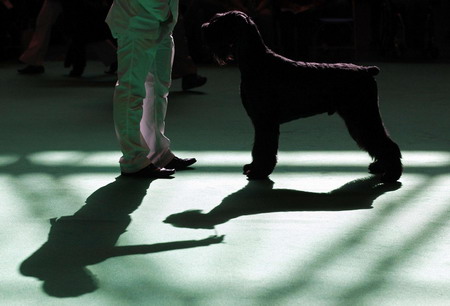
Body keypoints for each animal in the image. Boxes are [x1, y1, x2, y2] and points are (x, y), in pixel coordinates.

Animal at [202, 10, 402, 183]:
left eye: (219, 22)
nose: (204, 27)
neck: (257, 62)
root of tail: (367, 70)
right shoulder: (261, 122)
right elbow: (257, 148)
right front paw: (254, 167)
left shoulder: (265, 122)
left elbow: (263, 149)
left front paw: (258, 171)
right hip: (359, 119)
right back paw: (380, 167)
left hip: (362, 117)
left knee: (387, 144)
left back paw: (391, 175)